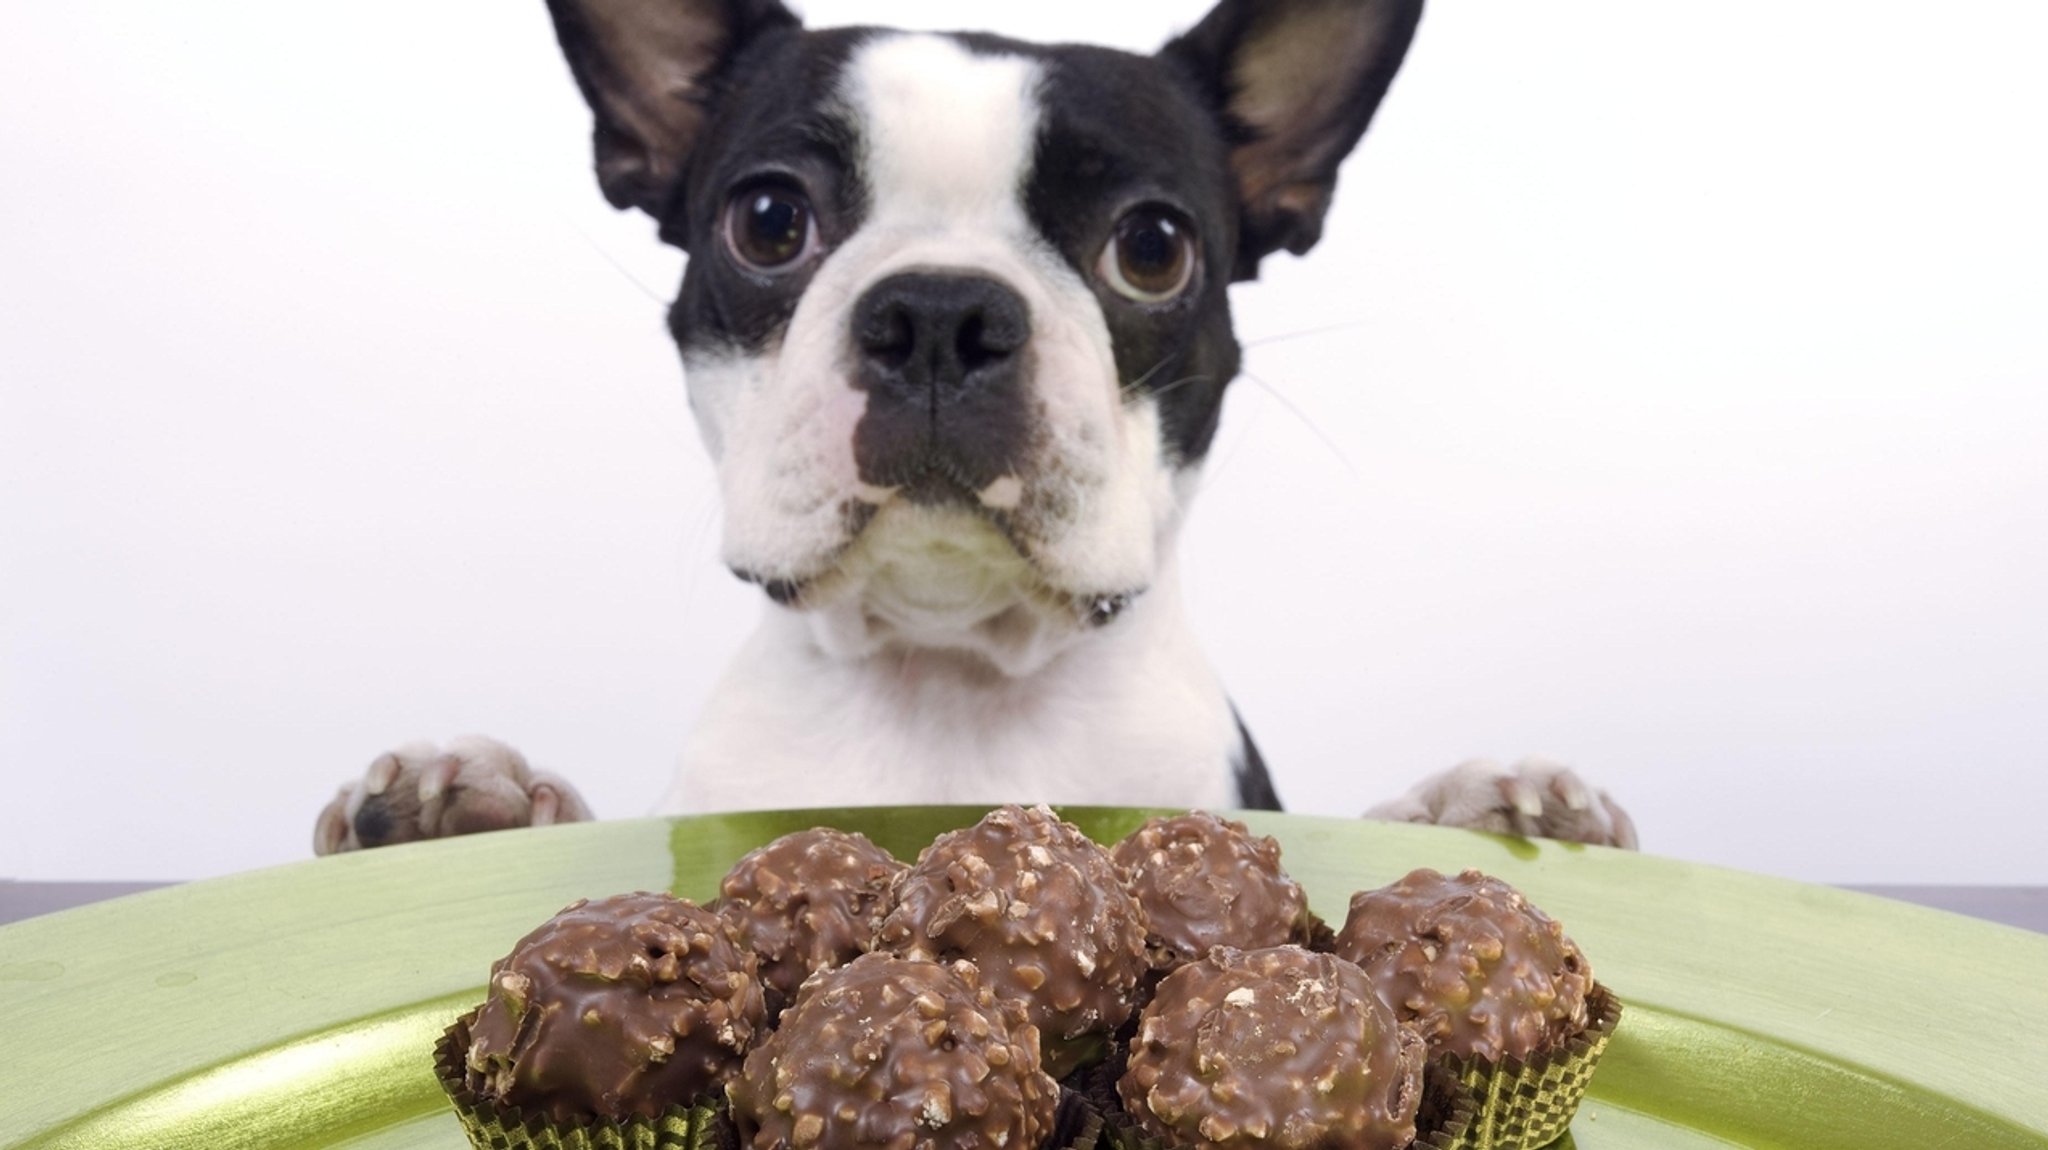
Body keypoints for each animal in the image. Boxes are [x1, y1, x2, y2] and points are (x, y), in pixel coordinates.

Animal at [311, 0, 1638, 851]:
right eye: (767, 220)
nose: (941, 314)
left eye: (1152, 247)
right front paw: (461, 804)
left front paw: (1472, 803)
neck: (948, 685)